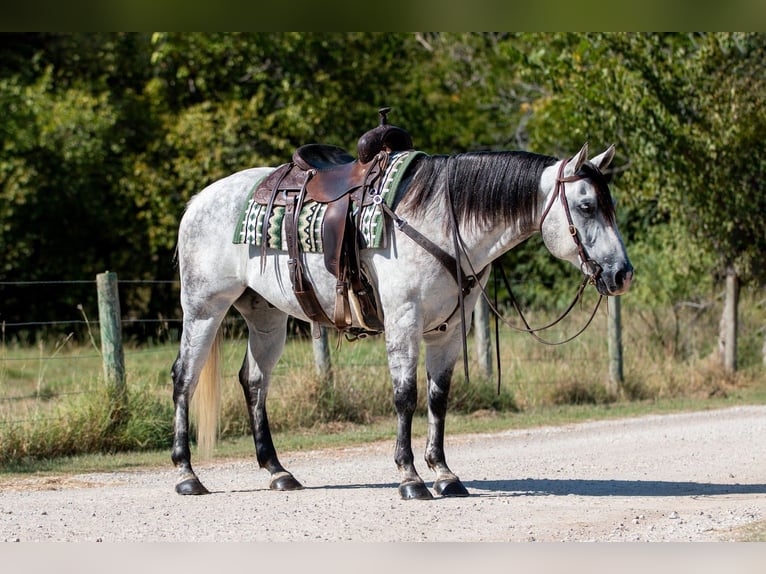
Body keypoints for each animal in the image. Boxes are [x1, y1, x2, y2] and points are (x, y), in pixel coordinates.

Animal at [172, 143, 636, 500]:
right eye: (586, 206)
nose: (622, 274)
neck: (441, 221)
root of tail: (199, 200)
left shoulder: (449, 331)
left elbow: (438, 398)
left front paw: (444, 475)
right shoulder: (404, 320)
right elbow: (405, 396)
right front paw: (410, 478)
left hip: (266, 316)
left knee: (253, 381)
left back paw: (277, 471)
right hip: (203, 308)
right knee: (184, 378)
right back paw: (187, 474)